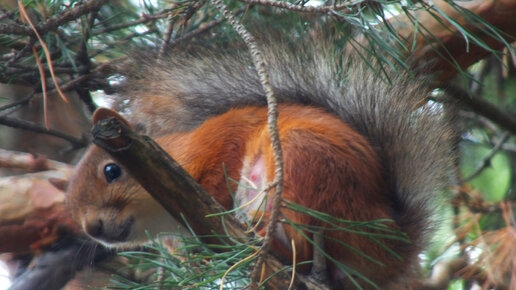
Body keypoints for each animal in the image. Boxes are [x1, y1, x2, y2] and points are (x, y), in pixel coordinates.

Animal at [65, 37, 456, 288]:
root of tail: (389, 240)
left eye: (111, 170)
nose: (91, 228)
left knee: (303, 251)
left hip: (303, 168)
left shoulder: (222, 149)